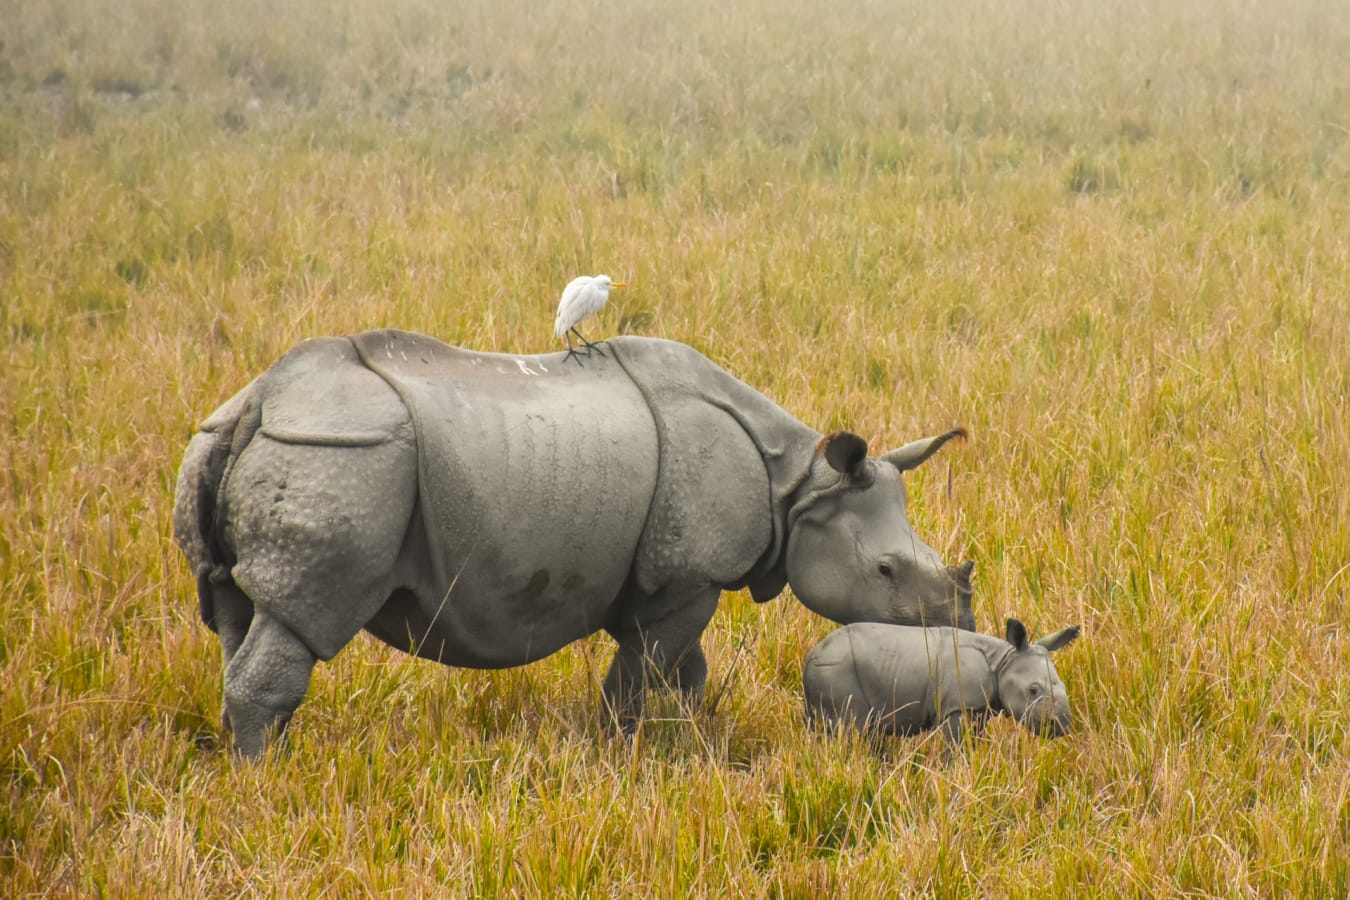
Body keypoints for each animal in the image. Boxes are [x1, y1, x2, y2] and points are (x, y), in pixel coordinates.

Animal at [173, 328, 975, 756]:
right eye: (885, 569)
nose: (959, 622)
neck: (798, 485)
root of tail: (260, 401)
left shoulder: (668, 578)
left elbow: (683, 669)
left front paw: (687, 740)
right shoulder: (688, 575)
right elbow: (643, 671)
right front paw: (624, 753)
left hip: (250, 444)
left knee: (238, 613)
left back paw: (254, 757)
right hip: (344, 457)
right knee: (302, 617)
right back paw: (266, 779)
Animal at [803, 619, 1080, 742]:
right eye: (1033, 690)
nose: (1062, 725)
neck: (1002, 661)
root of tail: (811, 655)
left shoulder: (978, 708)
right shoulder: (957, 708)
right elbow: (954, 748)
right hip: (837, 670)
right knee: (851, 731)